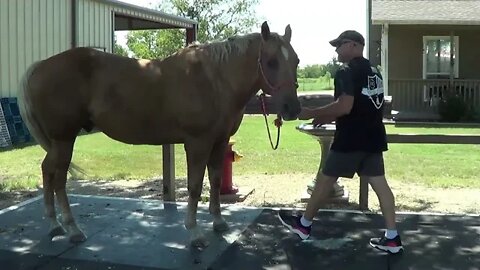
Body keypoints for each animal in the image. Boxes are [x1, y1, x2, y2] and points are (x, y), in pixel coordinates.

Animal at [17, 22, 300, 248]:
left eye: (296, 61)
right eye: (271, 61)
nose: (292, 109)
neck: (215, 80)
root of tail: (40, 66)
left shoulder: (219, 143)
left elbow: (216, 182)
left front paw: (218, 222)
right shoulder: (197, 144)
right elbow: (195, 187)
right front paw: (195, 233)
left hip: (58, 142)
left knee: (47, 171)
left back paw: (55, 226)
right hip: (64, 139)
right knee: (59, 179)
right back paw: (73, 229)